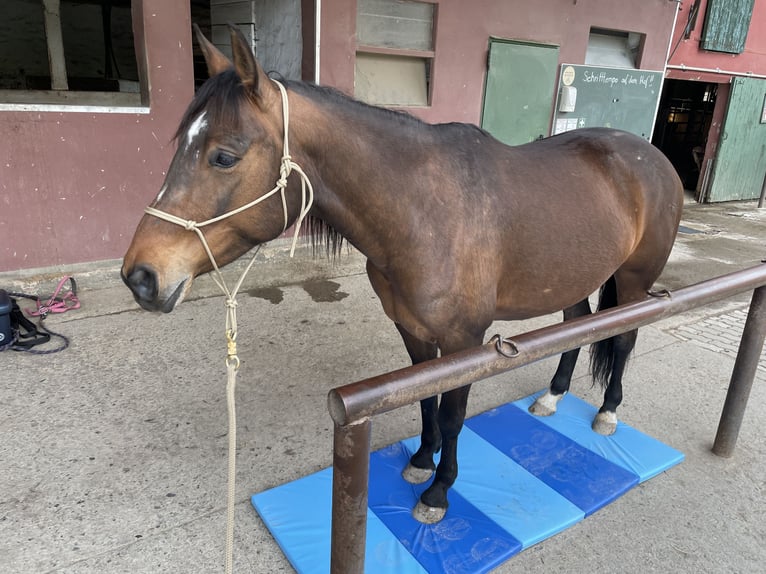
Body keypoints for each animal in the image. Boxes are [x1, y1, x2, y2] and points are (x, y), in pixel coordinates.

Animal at [123, 27, 688, 528]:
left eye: (224, 156)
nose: (141, 276)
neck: (423, 210)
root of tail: (653, 156)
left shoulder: (465, 340)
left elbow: (454, 414)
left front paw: (440, 491)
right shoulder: (412, 329)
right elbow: (425, 400)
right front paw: (420, 461)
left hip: (635, 281)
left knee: (624, 339)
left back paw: (607, 411)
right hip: (574, 277)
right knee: (579, 326)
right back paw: (552, 396)